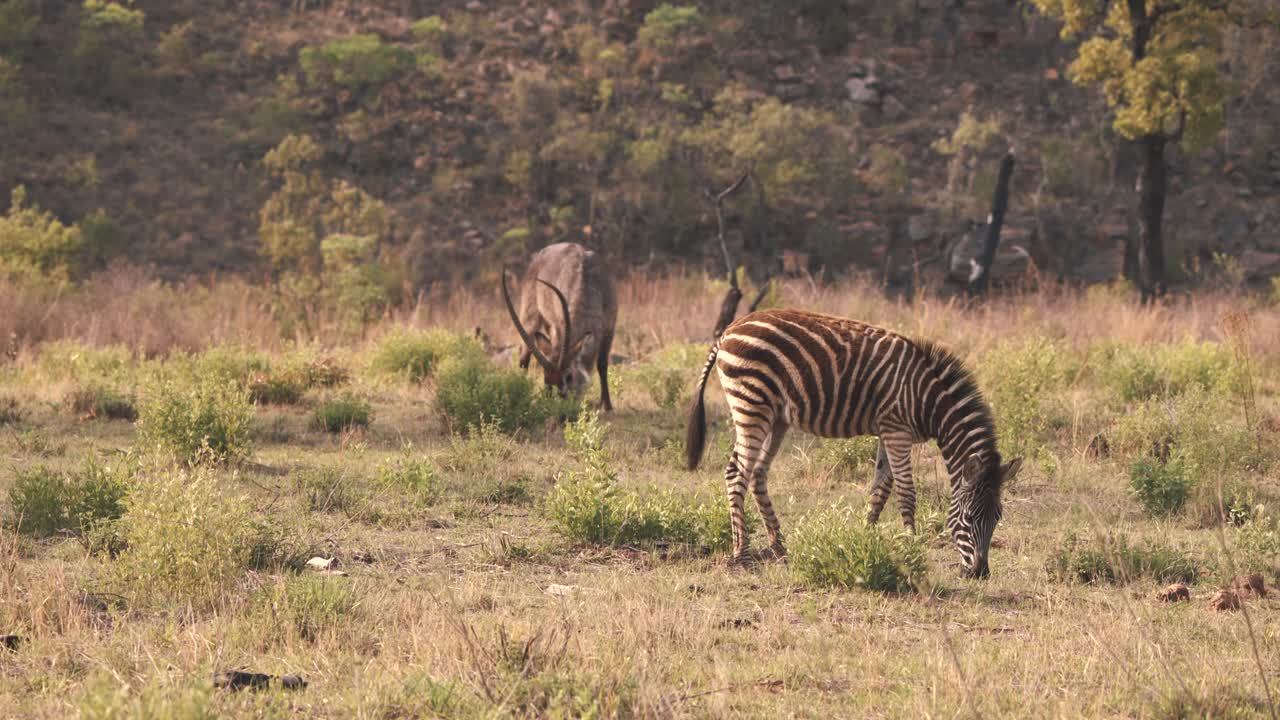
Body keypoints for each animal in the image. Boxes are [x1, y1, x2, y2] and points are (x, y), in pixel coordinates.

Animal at [501, 242, 617, 411]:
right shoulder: (558, 327)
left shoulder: (610, 328)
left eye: (569, 376)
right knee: (524, 354)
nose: (563, 406)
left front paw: (607, 406)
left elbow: (602, 364)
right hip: (531, 317)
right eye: (546, 378)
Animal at [685, 308, 1022, 578]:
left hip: (774, 417)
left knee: (756, 473)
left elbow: (880, 491)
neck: (928, 401)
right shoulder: (897, 431)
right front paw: (912, 550)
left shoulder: (889, 432)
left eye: (998, 518)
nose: (980, 574)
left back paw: (779, 547)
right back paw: (742, 555)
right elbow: (906, 493)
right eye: (969, 517)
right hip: (751, 404)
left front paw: (866, 540)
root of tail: (729, 329)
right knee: (736, 473)